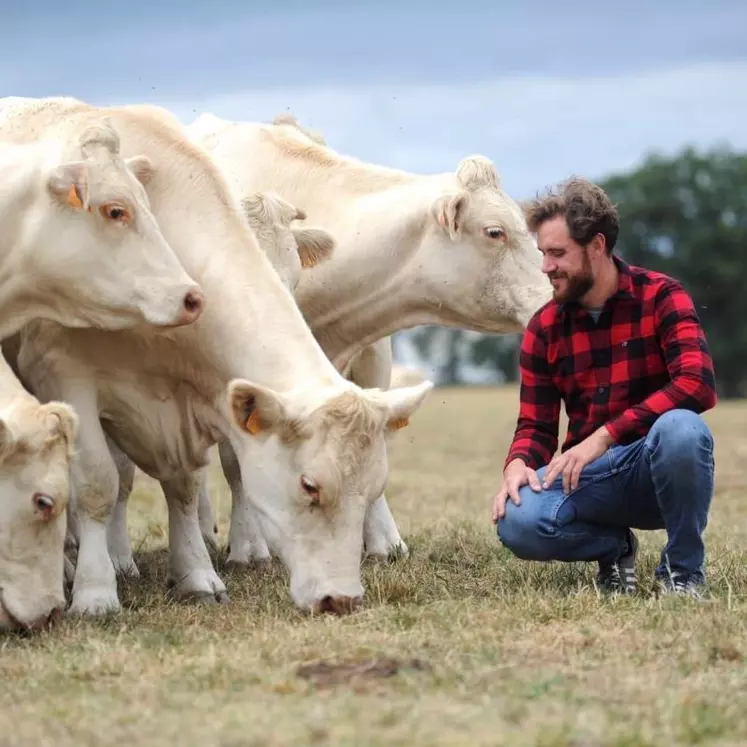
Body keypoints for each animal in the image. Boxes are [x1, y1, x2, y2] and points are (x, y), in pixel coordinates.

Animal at [180, 111, 556, 568]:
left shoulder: (373, 356)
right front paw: (248, 545)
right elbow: (236, 464)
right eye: (495, 232)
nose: (551, 296)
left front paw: (383, 540)